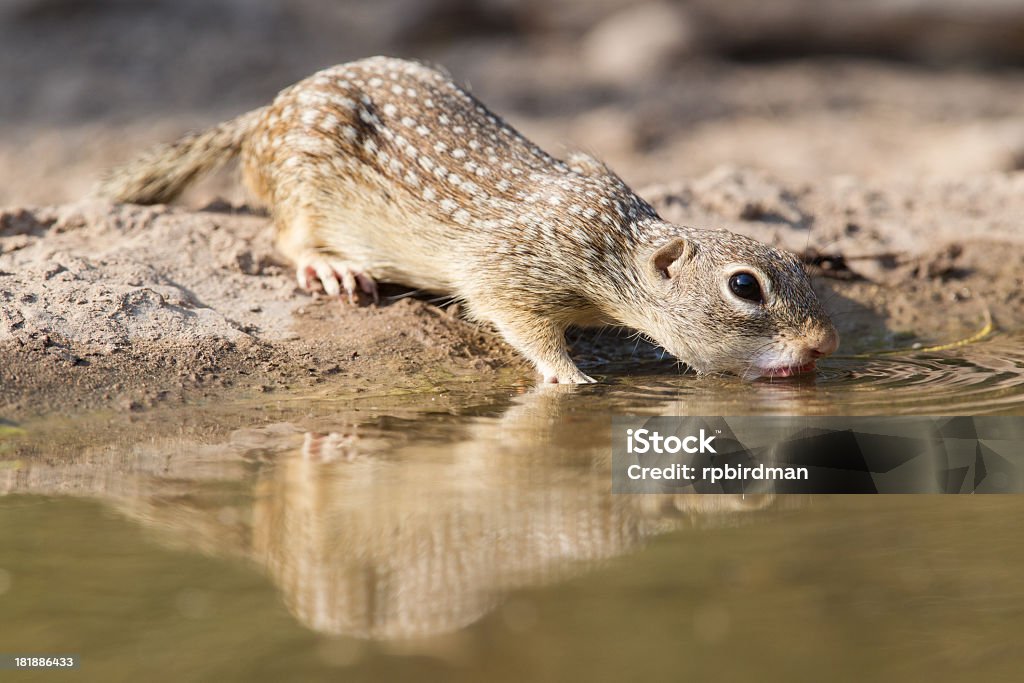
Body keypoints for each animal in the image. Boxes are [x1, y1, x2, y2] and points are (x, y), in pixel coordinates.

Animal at [96, 57, 835, 385]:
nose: (825, 344)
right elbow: (517, 321)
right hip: (301, 189)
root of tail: (264, 113)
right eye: (744, 286)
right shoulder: (512, 271)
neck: (613, 244)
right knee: (285, 236)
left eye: (801, 267)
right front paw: (569, 376)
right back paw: (329, 266)